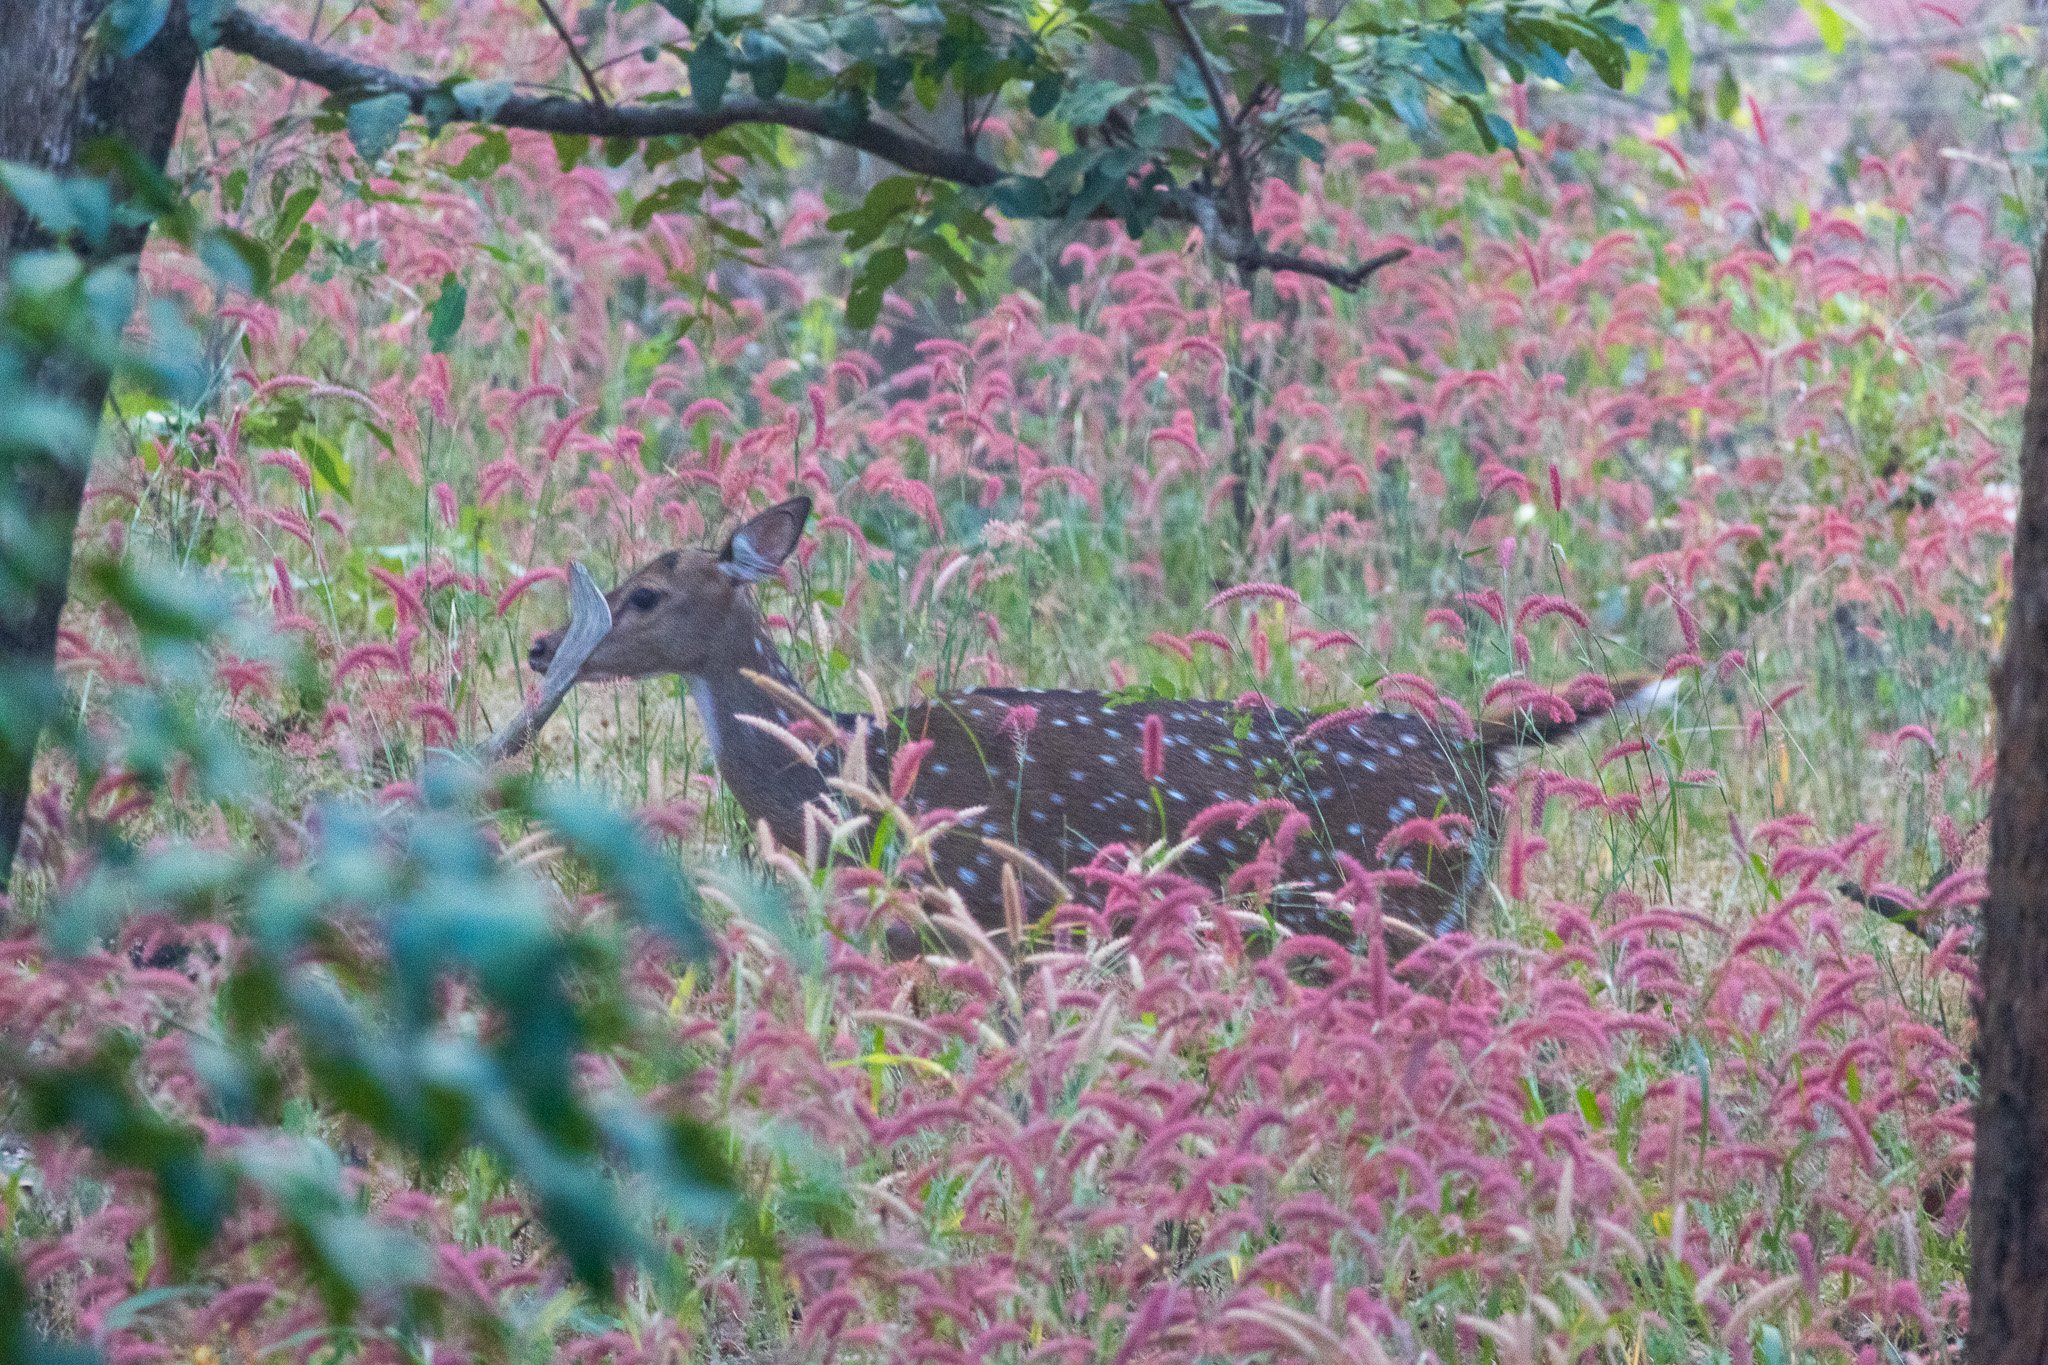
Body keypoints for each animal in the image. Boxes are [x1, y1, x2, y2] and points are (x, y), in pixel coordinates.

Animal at [532, 497, 1679, 957]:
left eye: (643, 595)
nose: (545, 645)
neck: (836, 775)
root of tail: (1476, 745)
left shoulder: (982, 904)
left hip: (1398, 903)